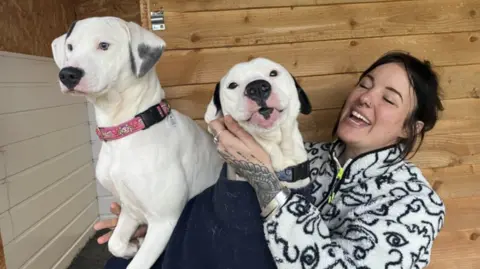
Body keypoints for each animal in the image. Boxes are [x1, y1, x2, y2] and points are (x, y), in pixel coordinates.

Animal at [50, 16, 223, 268]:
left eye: (104, 45)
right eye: (70, 47)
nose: (67, 74)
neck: (126, 131)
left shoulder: (163, 222)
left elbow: (137, 263)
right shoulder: (130, 210)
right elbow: (114, 243)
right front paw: (133, 246)